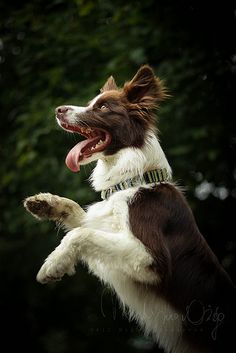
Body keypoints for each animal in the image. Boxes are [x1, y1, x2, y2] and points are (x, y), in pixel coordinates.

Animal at [24, 66, 235, 352]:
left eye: (102, 107)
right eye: (91, 102)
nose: (58, 109)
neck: (133, 182)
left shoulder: (151, 259)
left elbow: (81, 234)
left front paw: (54, 264)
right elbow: (81, 218)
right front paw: (46, 203)